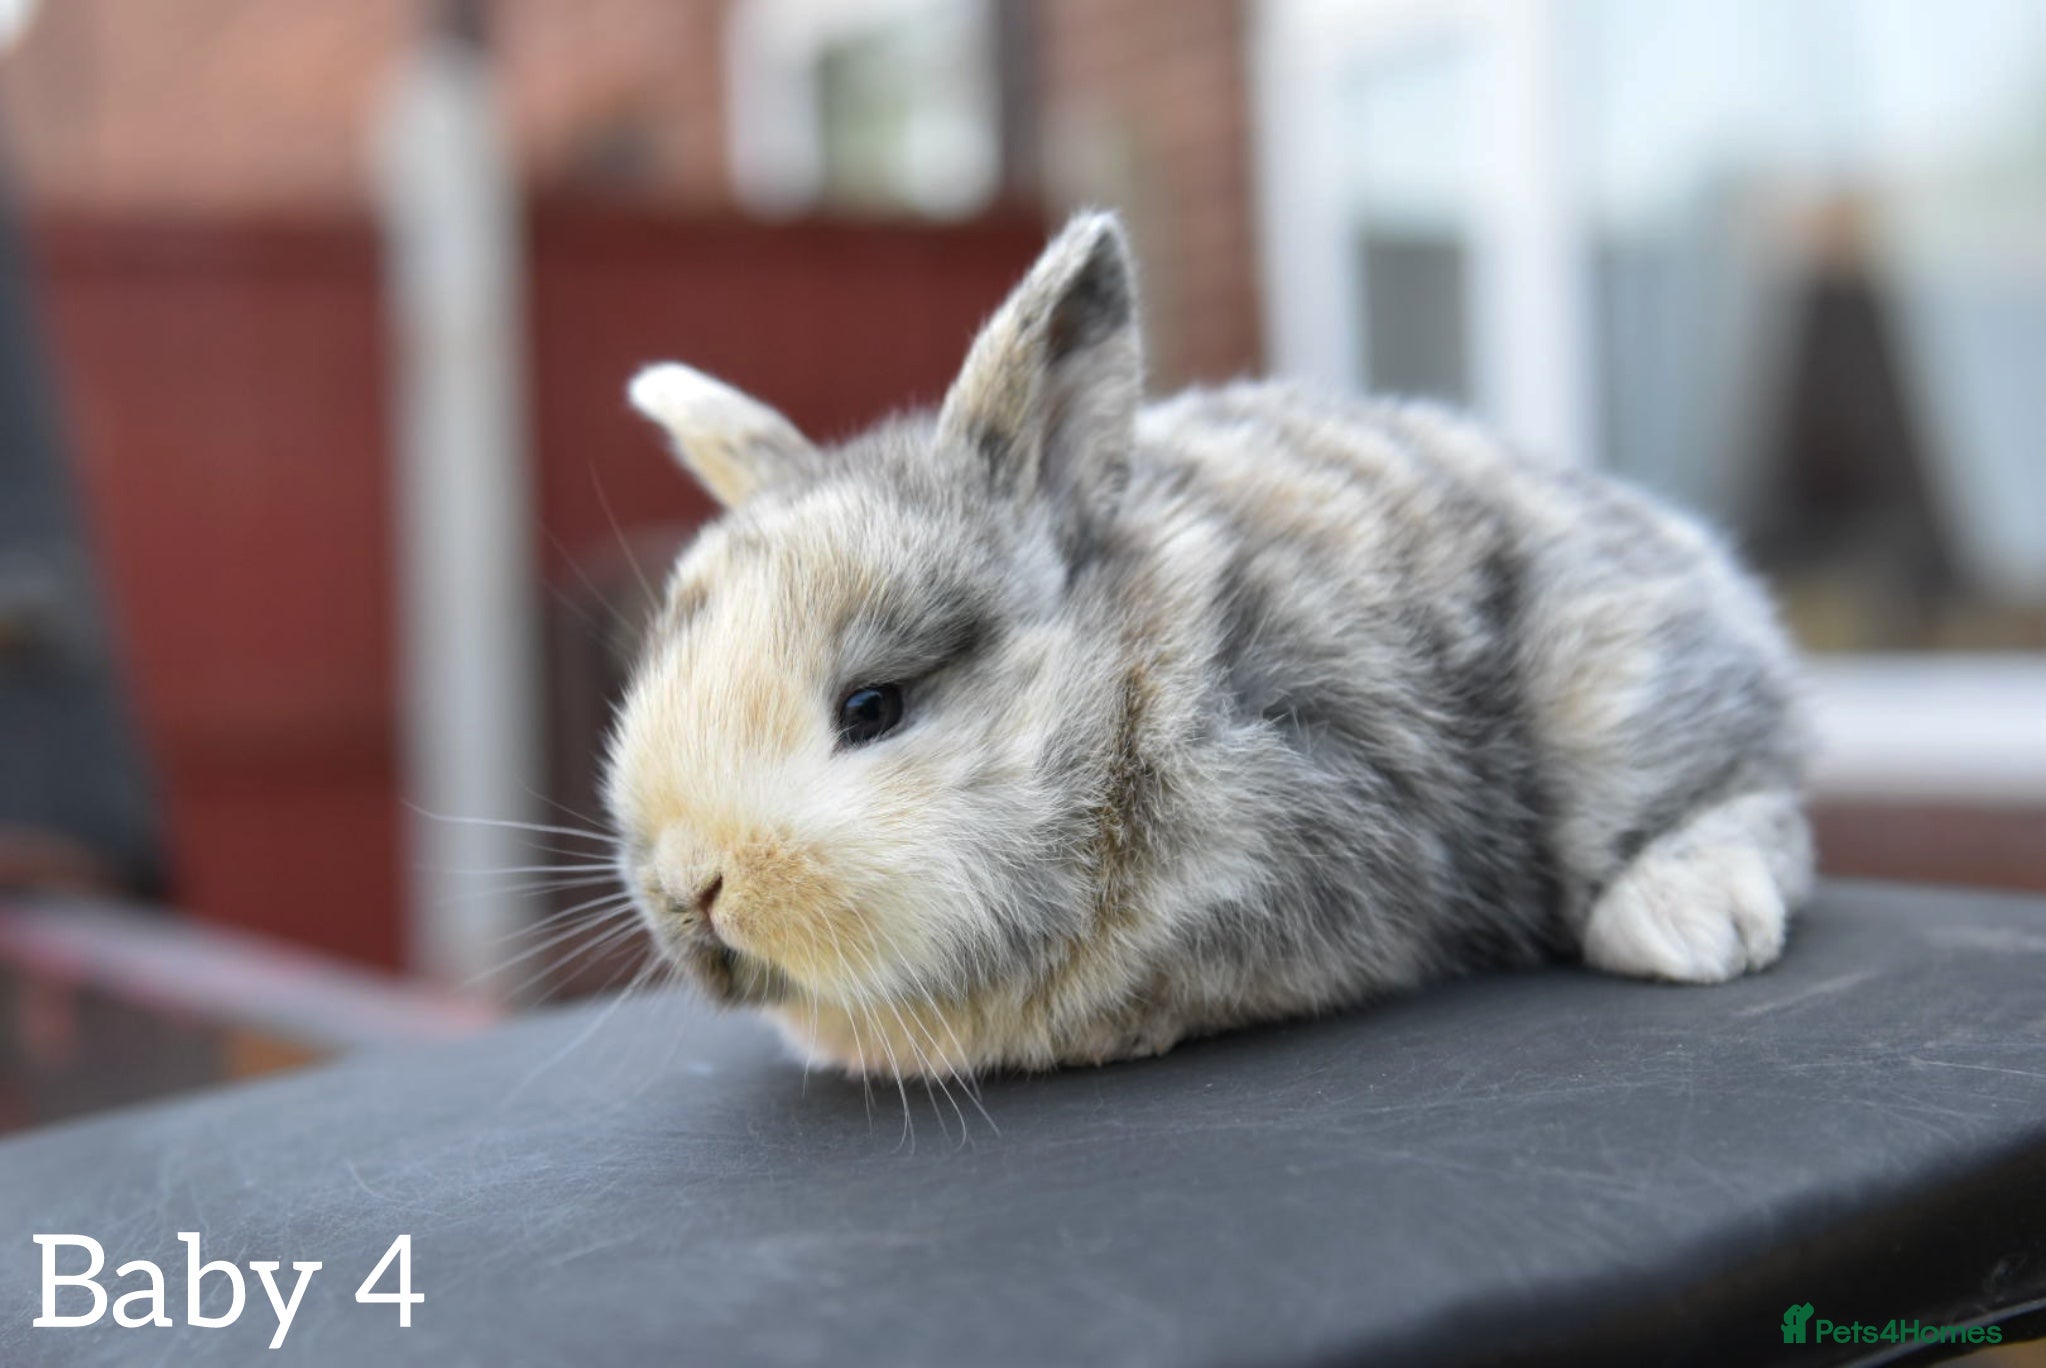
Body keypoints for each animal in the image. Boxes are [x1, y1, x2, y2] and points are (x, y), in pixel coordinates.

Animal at [606, 211, 1812, 1078]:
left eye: (873, 708)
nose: (691, 887)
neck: (1118, 705)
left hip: (1618, 699)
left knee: (1759, 807)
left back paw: (1687, 924)